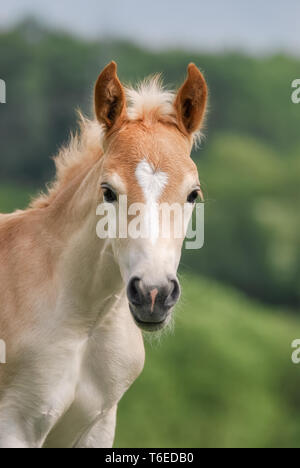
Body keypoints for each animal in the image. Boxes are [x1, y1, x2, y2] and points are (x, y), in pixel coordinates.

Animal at [0, 62, 206, 446]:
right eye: (108, 191)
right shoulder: (15, 424)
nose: (153, 294)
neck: (86, 322)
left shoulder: (98, 426)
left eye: (193, 194)